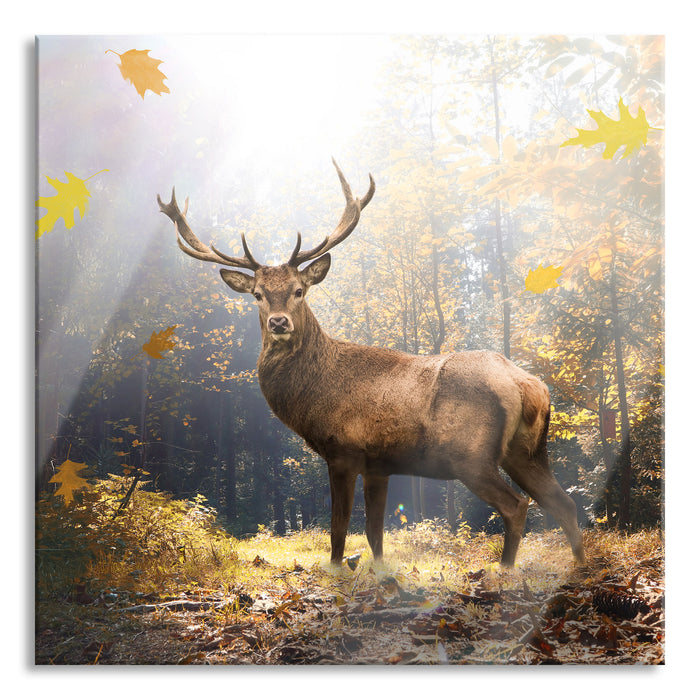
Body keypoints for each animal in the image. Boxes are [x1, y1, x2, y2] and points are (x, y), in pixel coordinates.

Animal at [157, 160, 585, 568]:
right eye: (258, 294)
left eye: (299, 290)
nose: (279, 323)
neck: (313, 395)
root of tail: (528, 385)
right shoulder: (380, 464)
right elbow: (375, 533)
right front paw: (379, 574)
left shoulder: (343, 450)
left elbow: (338, 529)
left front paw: (336, 573)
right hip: (527, 451)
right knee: (564, 502)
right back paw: (580, 566)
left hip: (471, 454)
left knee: (517, 506)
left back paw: (507, 571)